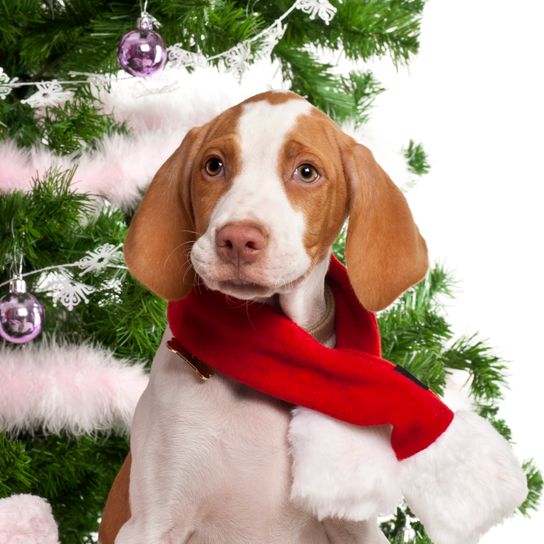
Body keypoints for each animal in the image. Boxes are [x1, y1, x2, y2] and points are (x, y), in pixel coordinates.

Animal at [100, 91, 428, 544]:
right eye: (214, 166)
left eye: (306, 172)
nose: (237, 240)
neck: (268, 356)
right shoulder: (152, 522)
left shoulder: (354, 527)